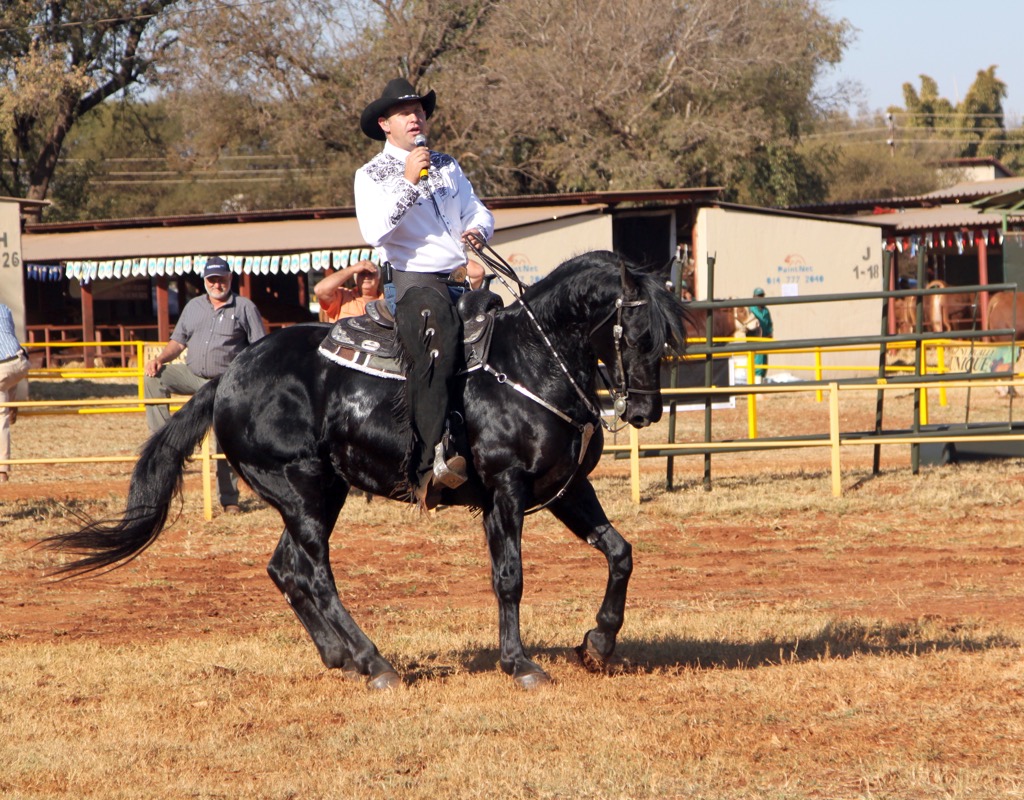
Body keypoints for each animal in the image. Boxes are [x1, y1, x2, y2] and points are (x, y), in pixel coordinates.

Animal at [46, 249, 688, 688]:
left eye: (668, 341)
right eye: (637, 334)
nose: (645, 411)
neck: (531, 360)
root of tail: (227, 378)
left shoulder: (566, 488)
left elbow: (620, 552)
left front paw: (598, 643)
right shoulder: (506, 489)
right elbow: (509, 577)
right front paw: (519, 663)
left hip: (315, 493)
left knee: (285, 569)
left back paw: (340, 656)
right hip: (303, 489)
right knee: (314, 575)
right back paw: (374, 661)